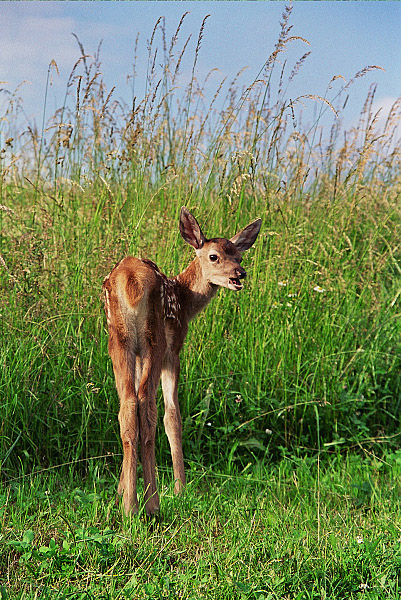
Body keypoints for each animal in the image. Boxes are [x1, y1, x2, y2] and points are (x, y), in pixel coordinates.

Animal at [103, 207, 261, 516]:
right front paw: (181, 489)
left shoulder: (137, 356)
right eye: (214, 256)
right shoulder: (174, 351)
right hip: (154, 341)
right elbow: (173, 416)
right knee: (148, 406)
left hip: (120, 340)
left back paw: (128, 505)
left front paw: (120, 491)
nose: (240, 274)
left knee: (127, 404)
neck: (186, 300)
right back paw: (151, 503)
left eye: (238, 255)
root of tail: (130, 279)